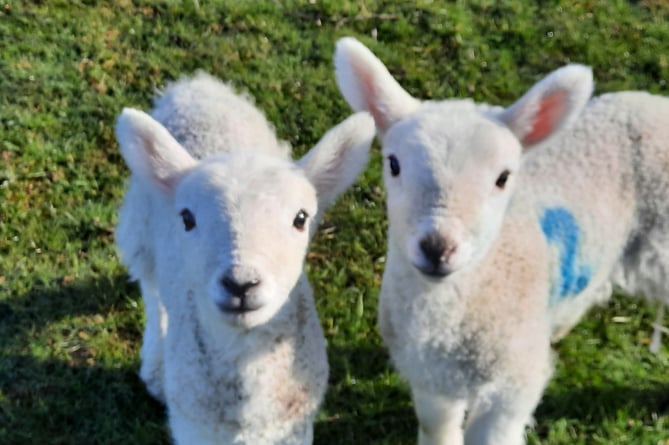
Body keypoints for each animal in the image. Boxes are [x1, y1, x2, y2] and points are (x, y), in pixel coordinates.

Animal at [115, 71, 376, 442]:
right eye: (187, 218)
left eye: (301, 218)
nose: (240, 284)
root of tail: (194, 86)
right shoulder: (193, 429)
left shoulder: (295, 428)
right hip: (139, 230)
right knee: (152, 292)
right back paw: (155, 366)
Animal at [334, 37, 668, 444]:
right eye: (394, 164)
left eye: (503, 177)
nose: (437, 248)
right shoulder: (430, 377)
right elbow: (437, 427)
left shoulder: (513, 385)